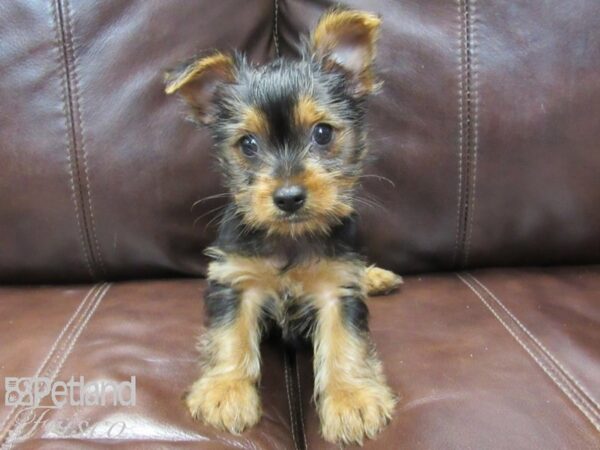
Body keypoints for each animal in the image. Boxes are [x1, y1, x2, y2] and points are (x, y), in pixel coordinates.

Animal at [164, 7, 404, 446]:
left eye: (323, 133)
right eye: (248, 144)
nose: (289, 197)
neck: (289, 239)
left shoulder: (337, 284)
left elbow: (345, 341)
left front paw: (351, 399)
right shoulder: (235, 279)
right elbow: (230, 336)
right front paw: (226, 390)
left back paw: (376, 277)